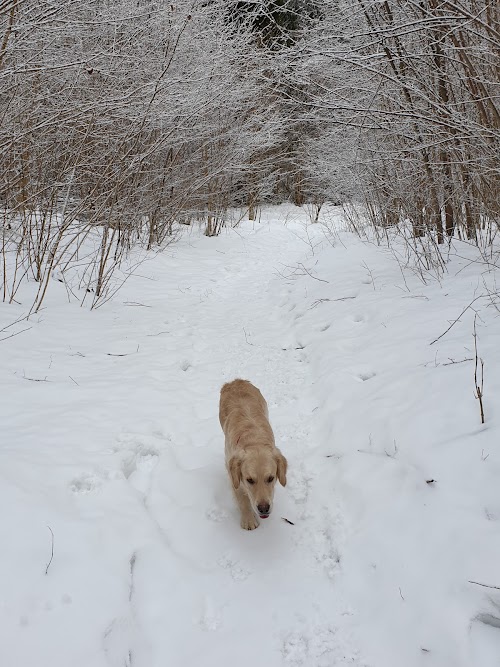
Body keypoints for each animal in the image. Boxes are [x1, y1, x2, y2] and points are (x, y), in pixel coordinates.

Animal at [218, 380, 286, 532]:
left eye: (271, 478)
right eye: (249, 480)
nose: (264, 508)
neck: (253, 440)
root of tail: (236, 380)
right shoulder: (233, 475)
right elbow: (242, 500)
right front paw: (248, 520)